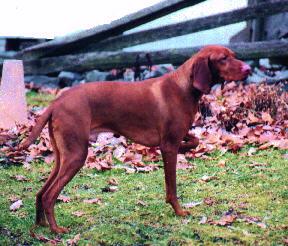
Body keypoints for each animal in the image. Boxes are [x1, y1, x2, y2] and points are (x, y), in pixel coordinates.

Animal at [20, 45, 250, 234]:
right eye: (223, 58)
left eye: (234, 55)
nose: (248, 69)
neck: (184, 87)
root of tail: (56, 103)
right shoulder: (168, 145)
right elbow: (172, 186)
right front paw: (179, 211)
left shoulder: (176, 136)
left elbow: (195, 141)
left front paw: (186, 148)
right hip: (76, 155)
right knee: (50, 195)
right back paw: (56, 229)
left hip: (62, 156)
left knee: (41, 192)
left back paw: (40, 224)